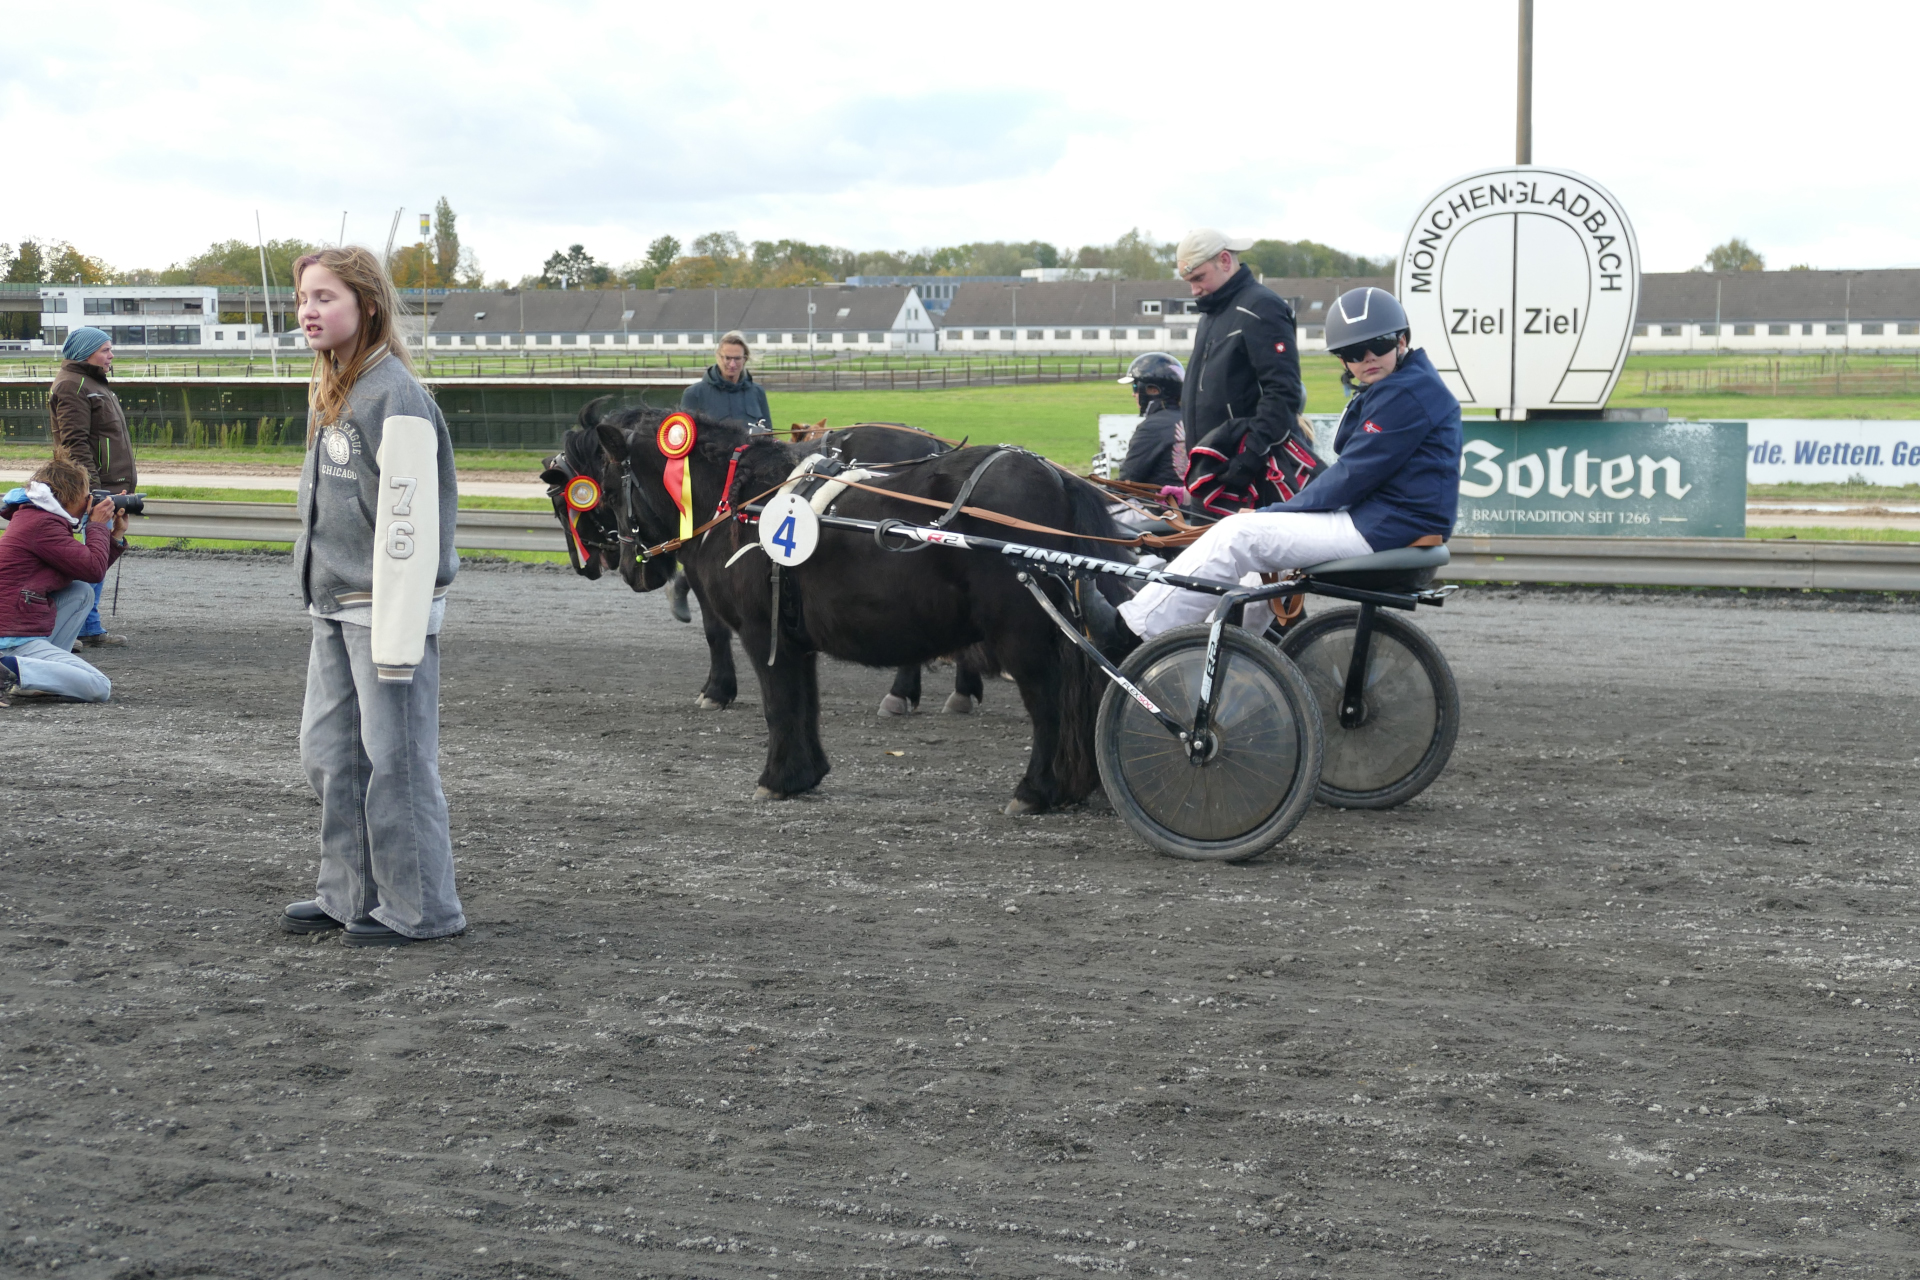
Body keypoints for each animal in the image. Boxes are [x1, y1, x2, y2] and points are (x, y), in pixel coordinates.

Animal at [541, 408, 986, 715]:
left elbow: (714, 629)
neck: (731, 492)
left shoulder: (706, 571)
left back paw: (906, 692)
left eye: (571, 502)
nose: (592, 566)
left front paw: (716, 690)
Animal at [591, 406, 1128, 812]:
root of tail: (1056, 478)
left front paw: (776, 778)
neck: (745, 502)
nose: (629, 569)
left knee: (1048, 703)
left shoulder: (762, 631)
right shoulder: (793, 636)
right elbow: (803, 703)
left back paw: (1038, 789)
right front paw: (804, 774)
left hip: (1023, 634)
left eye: (611, 490)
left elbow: (778, 705)